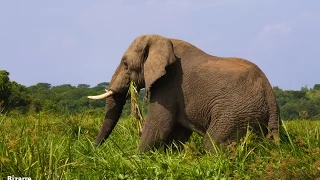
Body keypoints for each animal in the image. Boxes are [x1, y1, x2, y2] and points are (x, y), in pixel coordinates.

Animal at [87, 33, 280, 152]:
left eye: (126, 64)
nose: (91, 149)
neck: (164, 40)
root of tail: (270, 96)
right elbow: (177, 133)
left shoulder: (169, 84)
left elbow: (158, 126)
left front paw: (134, 160)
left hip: (235, 113)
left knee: (212, 144)